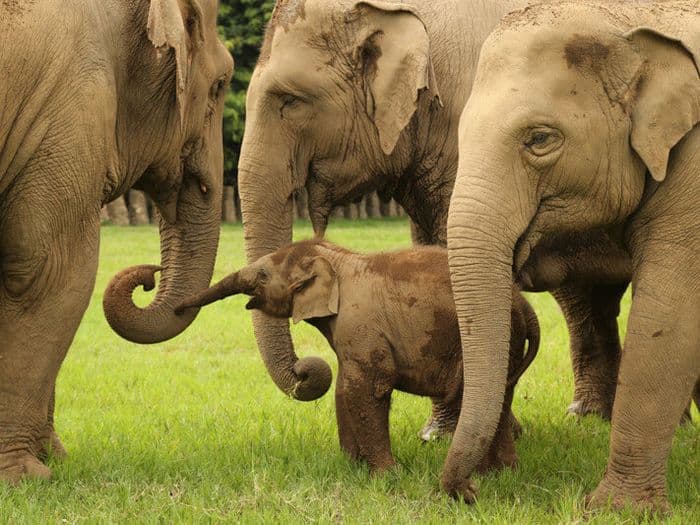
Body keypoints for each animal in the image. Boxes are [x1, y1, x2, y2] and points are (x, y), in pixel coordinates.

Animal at [0, 1, 235, 484]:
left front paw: (54, 460)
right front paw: (25, 477)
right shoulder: (69, 112)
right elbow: (46, 274)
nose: (150, 274)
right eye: (221, 84)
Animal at [178, 239, 540, 472]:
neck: (336, 257)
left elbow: (369, 388)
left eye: (264, 275)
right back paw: (502, 472)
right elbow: (344, 388)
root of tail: (523, 303)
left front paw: (387, 474)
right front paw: (353, 467)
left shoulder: (361, 324)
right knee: (501, 396)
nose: (178, 308)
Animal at [238, 0, 628, 432]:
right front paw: (439, 433)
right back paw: (589, 417)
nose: (308, 371)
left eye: (290, 101)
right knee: (589, 297)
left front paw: (463, 434)